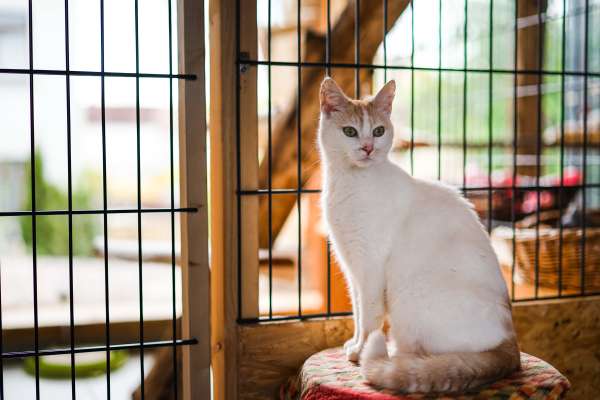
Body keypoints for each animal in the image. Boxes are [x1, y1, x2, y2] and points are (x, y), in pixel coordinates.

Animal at [318, 76, 520, 392]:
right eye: (350, 131)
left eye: (378, 131)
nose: (367, 148)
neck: (351, 182)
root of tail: (511, 343)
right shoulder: (352, 267)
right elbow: (358, 312)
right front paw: (354, 343)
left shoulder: (370, 266)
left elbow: (370, 315)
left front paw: (360, 350)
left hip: (408, 294)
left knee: (417, 354)